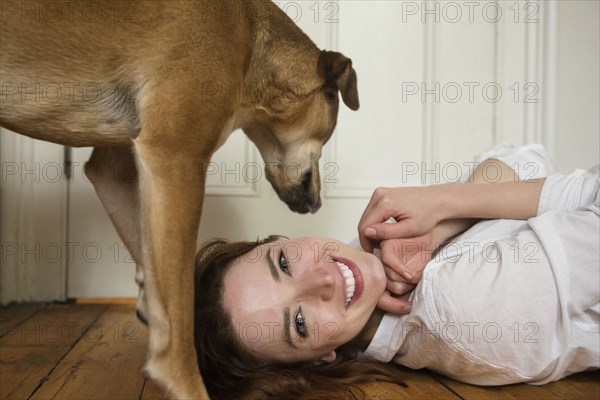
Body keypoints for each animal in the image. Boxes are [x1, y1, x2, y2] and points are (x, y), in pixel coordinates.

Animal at [0, 1, 358, 398]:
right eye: (328, 133)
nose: (317, 204)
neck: (249, 37)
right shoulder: (175, 157)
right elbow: (179, 303)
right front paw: (186, 381)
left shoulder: (115, 170)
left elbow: (157, 272)